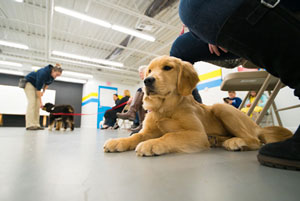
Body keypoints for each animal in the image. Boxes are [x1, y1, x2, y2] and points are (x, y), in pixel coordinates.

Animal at [102, 55, 290, 156]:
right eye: (149, 70)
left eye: (167, 68)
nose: (147, 81)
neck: (165, 108)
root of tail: (257, 126)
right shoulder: (147, 131)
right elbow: (135, 136)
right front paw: (119, 141)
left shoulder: (197, 134)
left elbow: (169, 135)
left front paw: (152, 144)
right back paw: (217, 139)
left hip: (221, 108)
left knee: (255, 141)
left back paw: (236, 142)